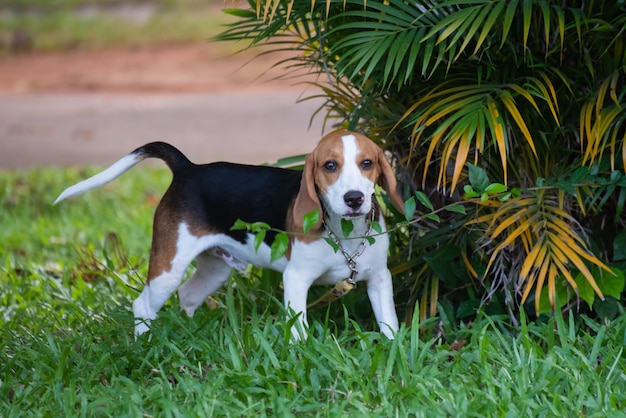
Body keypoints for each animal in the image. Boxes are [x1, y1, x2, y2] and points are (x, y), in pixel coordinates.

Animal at [54, 131, 404, 340]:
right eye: (330, 166)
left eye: (367, 163)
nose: (354, 198)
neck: (345, 235)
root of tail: (187, 168)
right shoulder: (296, 279)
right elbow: (299, 329)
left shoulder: (379, 278)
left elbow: (390, 323)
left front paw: (394, 348)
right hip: (168, 268)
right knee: (143, 306)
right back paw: (145, 345)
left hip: (216, 269)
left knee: (188, 295)